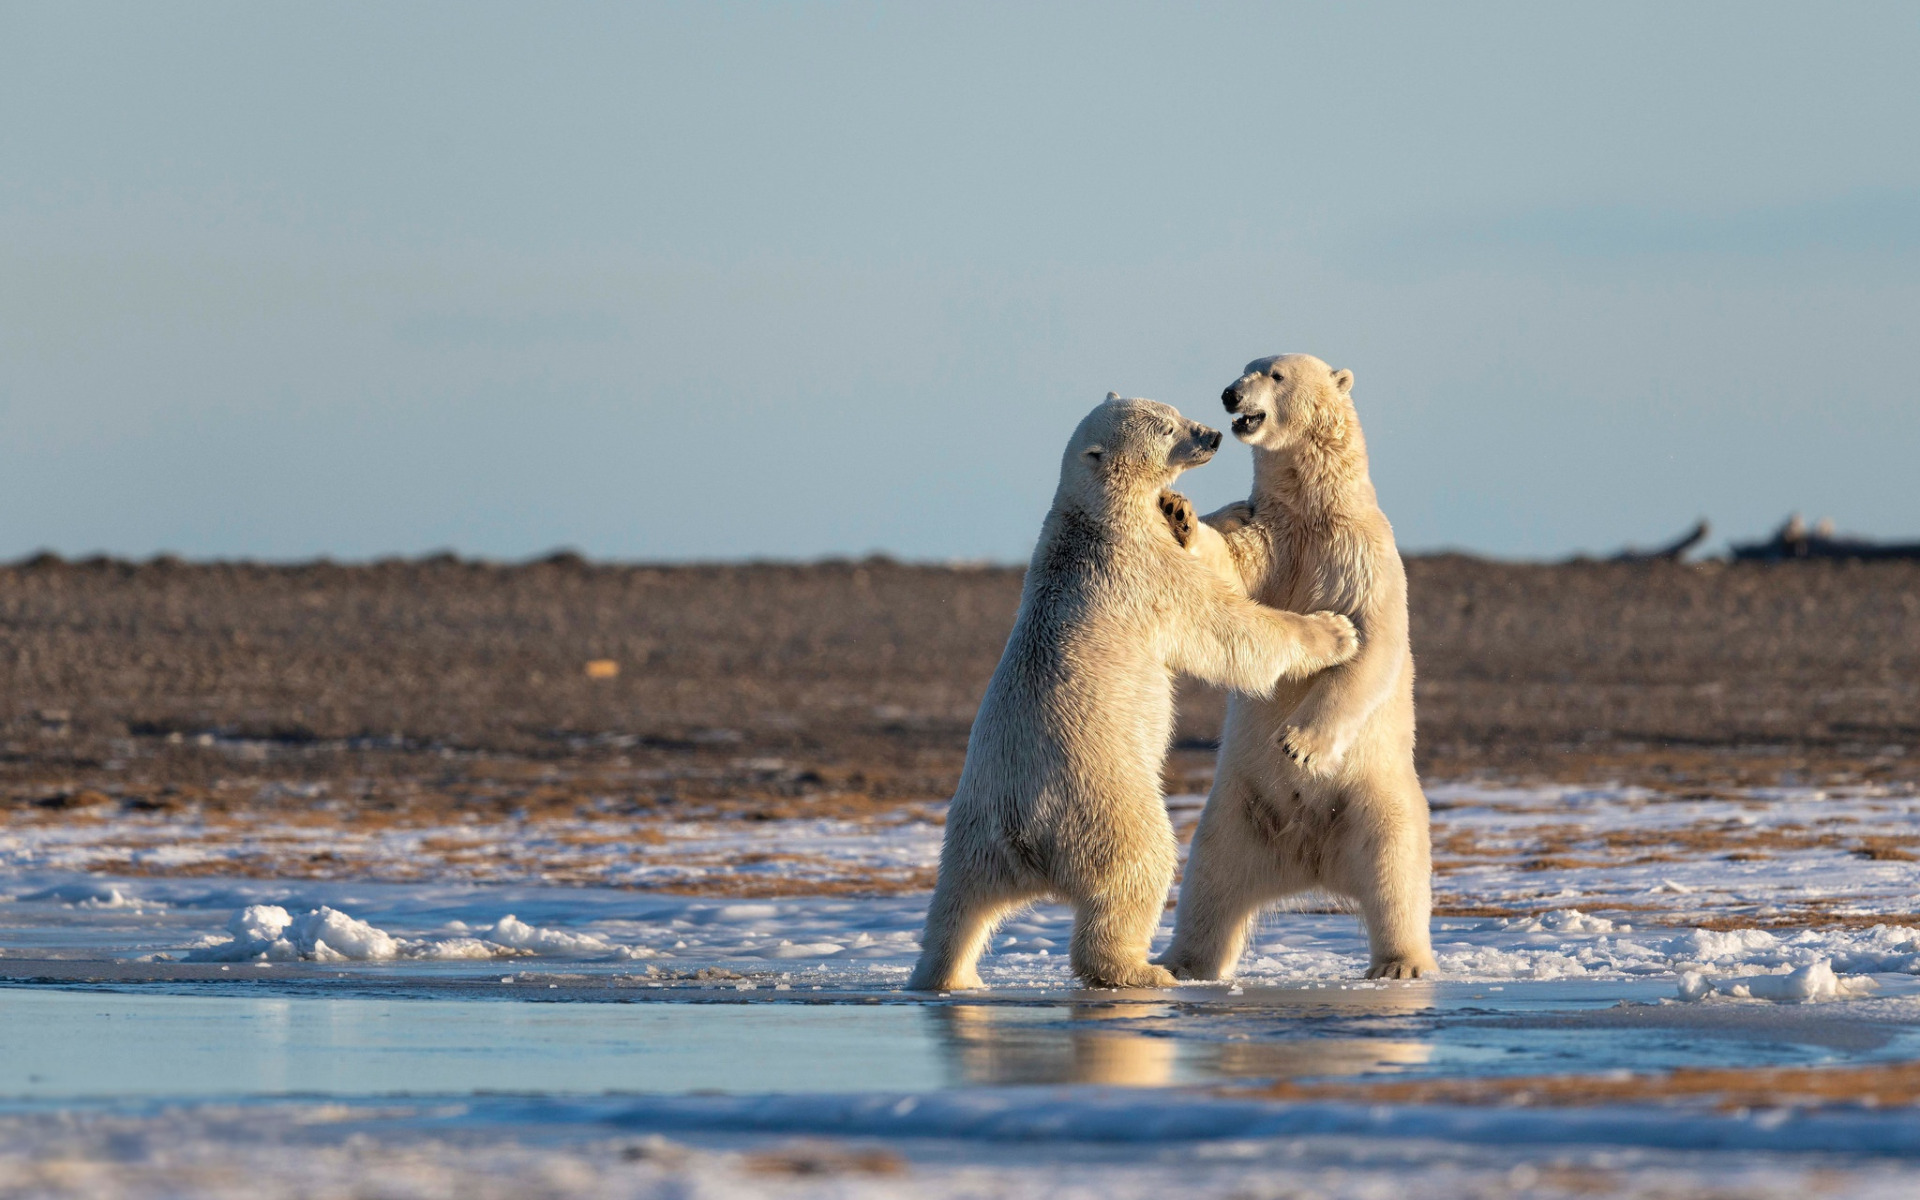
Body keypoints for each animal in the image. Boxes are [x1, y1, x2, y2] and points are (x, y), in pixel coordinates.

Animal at [906, 395, 1359, 990]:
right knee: (1137, 867)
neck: (1095, 517)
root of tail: (1026, 834)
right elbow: (1227, 627)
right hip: (1103, 804)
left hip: (973, 829)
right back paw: (1140, 970)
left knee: (958, 904)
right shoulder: (1143, 570)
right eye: (1166, 428)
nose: (1213, 435)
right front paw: (1335, 632)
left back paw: (950, 975)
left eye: (1177, 411)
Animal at [1152, 353, 1443, 983]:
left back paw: (1402, 964)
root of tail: (1312, 861)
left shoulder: (1360, 551)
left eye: (1274, 374)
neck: (1315, 507)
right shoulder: (1273, 534)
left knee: (1395, 871)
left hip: (1375, 796)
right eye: (1244, 367)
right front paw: (1178, 512)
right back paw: (1183, 961)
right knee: (1210, 880)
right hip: (1240, 811)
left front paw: (1300, 746)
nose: (1230, 394)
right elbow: (1232, 563)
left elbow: (1371, 645)